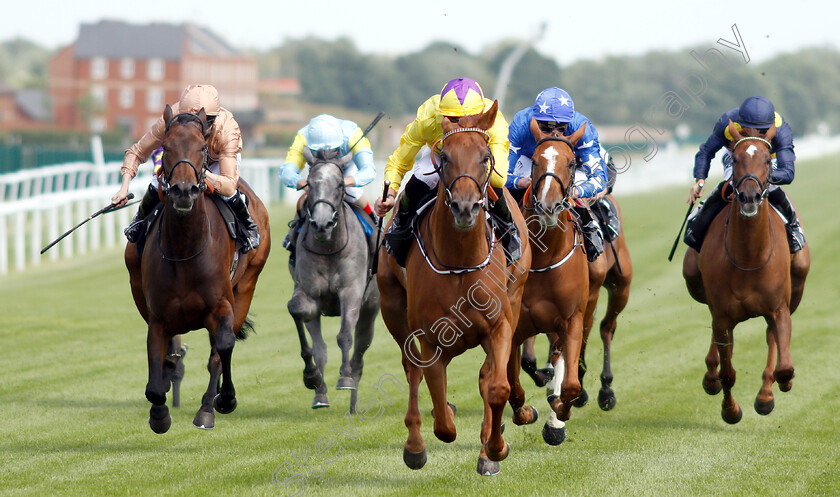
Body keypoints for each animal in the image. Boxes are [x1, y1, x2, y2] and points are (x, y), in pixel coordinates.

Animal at [124, 106, 270, 432]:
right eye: (166, 147)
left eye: (202, 148)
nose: (183, 191)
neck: (185, 249)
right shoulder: (157, 317)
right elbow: (155, 378)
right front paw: (159, 414)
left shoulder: (223, 304)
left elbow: (223, 348)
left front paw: (222, 400)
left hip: (247, 285)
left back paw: (210, 404)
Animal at [288, 147, 380, 410]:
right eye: (309, 184)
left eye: (340, 184)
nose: (322, 224)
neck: (329, 248)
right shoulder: (309, 295)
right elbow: (296, 310)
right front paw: (311, 376)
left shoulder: (351, 292)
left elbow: (345, 335)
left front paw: (345, 377)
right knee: (321, 347)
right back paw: (320, 394)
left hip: (370, 310)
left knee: (360, 353)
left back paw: (352, 403)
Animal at [378, 100, 532, 472]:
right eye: (444, 156)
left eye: (485, 156)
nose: (464, 207)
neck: (461, 260)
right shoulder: (431, 337)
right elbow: (441, 414)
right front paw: (431, 430)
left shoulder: (500, 325)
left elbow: (496, 387)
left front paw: (494, 449)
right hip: (392, 308)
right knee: (412, 371)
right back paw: (415, 443)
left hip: (516, 294)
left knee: (486, 376)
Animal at [684, 121, 808, 422]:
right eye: (736, 158)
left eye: (766, 159)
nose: (750, 197)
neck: (749, 257)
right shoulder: (723, 314)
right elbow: (728, 372)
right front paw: (730, 410)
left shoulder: (779, 308)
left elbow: (784, 365)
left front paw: (779, 385)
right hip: (695, 282)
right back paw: (711, 376)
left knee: (771, 338)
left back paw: (765, 395)